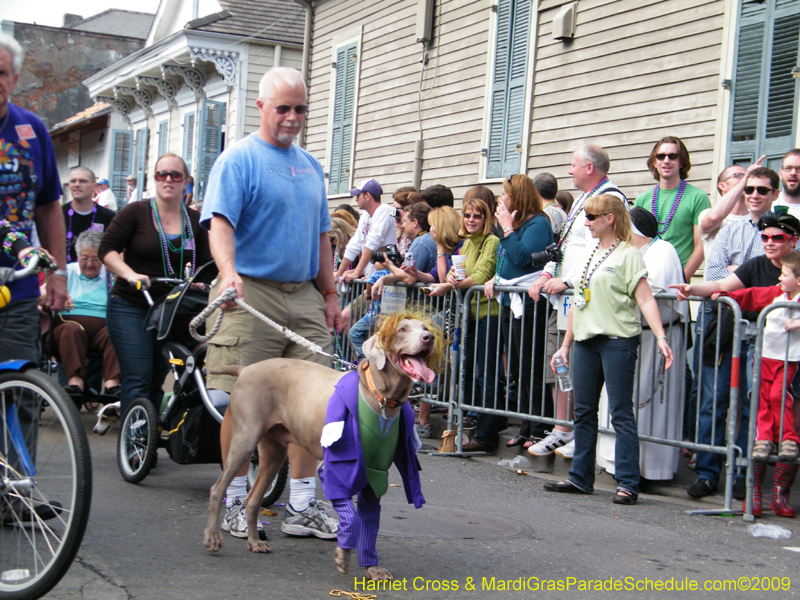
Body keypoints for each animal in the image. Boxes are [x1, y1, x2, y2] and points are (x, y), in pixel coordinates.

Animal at [205, 314, 444, 580]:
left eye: (425, 328)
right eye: (402, 329)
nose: (429, 338)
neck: (381, 398)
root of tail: (246, 369)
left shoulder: (375, 474)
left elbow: (370, 525)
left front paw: (371, 568)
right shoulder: (335, 467)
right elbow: (351, 518)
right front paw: (343, 555)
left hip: (273, 452)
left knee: (253, 499)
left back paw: (255, 542)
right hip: (245, 438)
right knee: (218, 488)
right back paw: (213, 538)